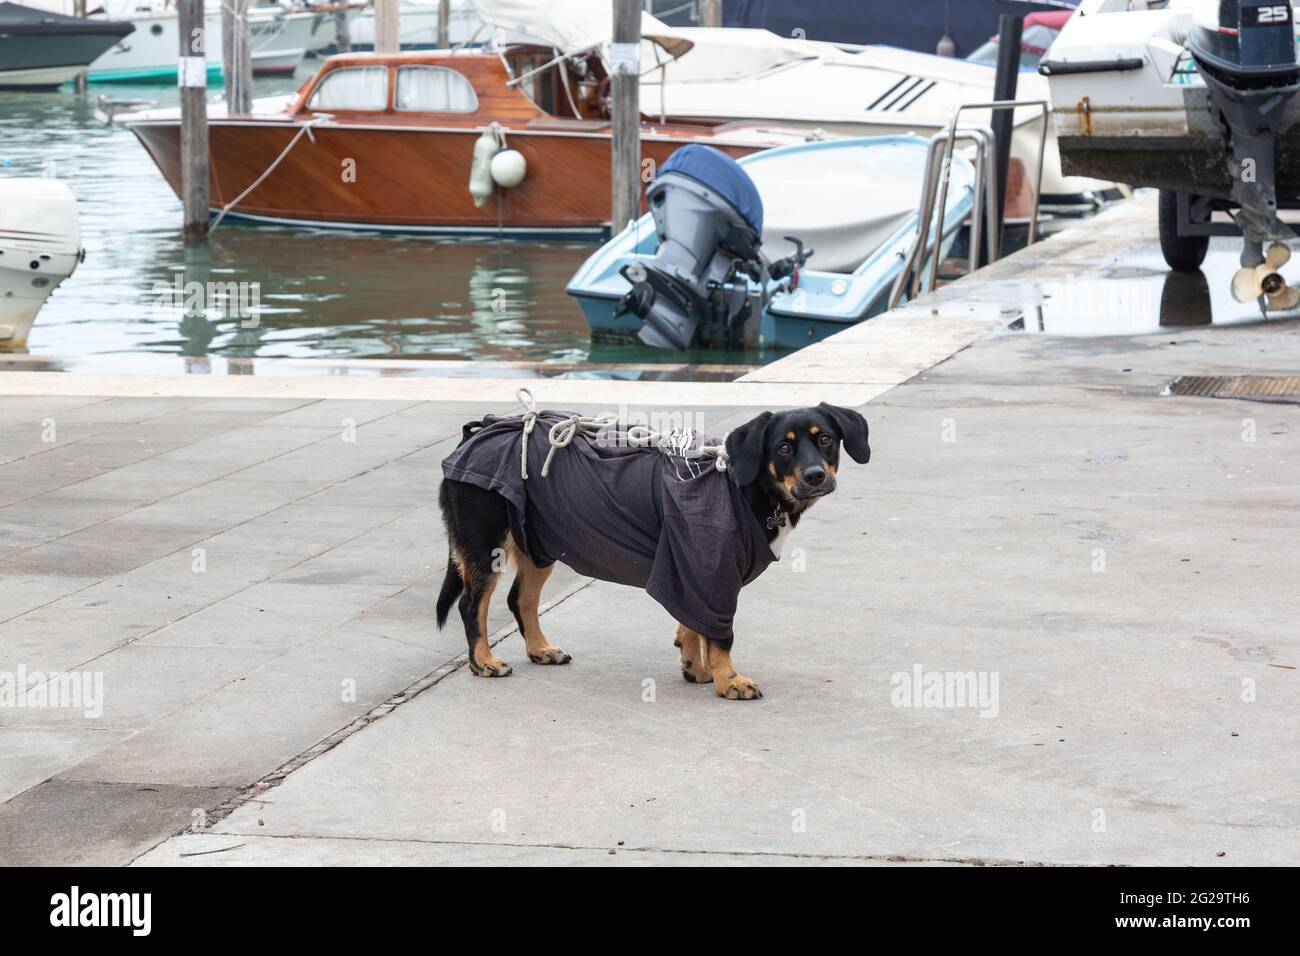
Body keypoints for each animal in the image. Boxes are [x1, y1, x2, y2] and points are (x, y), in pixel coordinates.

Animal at [436, 400, 873, 697]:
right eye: (783, 448)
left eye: (826, 440)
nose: (815, 476)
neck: (741, 485)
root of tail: (472, 435)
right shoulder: (709, 569)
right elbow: (720, 632)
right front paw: (728, 679)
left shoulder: (694, 568)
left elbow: (693, 624)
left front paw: (696, 667)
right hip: (486, 546)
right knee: (472, 606)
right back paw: (484, 662)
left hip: (538, 541)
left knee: (520, 599)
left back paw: (540, 649)